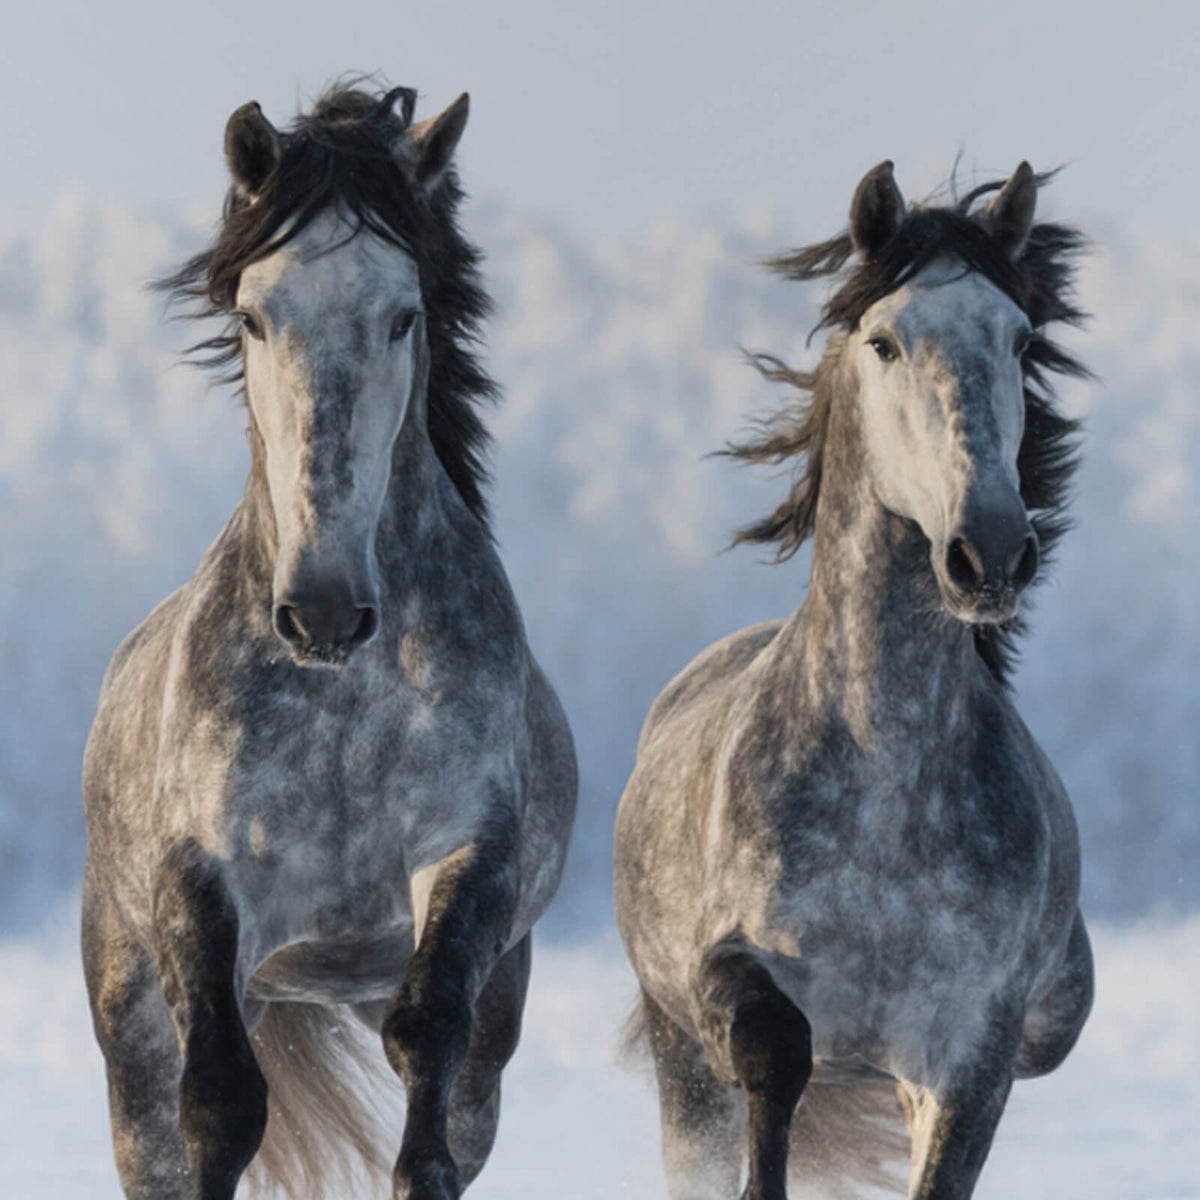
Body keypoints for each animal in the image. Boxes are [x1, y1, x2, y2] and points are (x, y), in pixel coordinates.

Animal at [81, 84, 577, 1200]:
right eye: (254, 315)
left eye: (405, 315)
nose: (323, 608)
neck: (343, 705)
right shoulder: (204, 888)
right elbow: (221, 1102)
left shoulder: (466, 867)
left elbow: (426, 1063)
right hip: (134, 1020)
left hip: (495, 1011)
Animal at [614, 161, 1094, 1200]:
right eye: (884, 340)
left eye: (1020, 337)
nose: (991, 552)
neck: (884, 783)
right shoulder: (732, 979)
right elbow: (775, 1061)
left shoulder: (970, 1056)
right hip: (680, 1061)